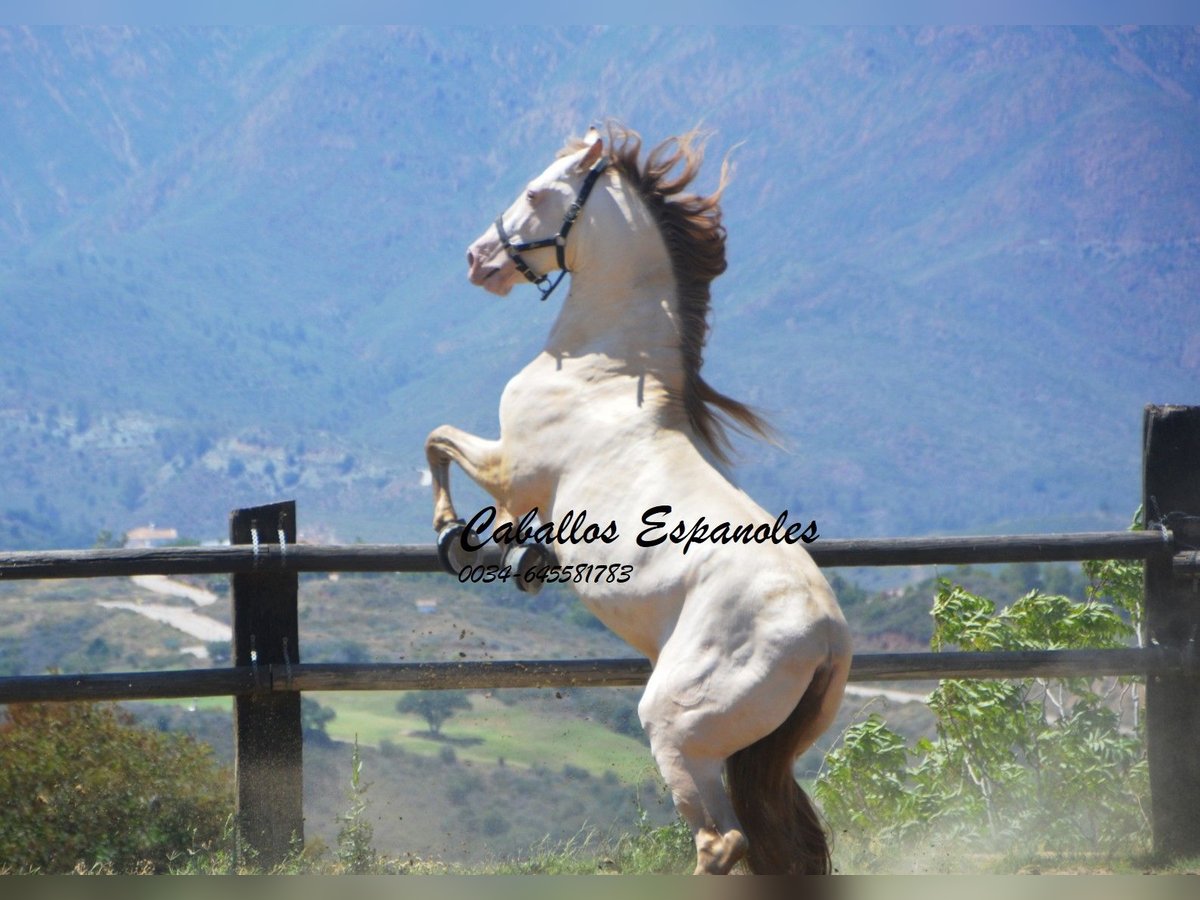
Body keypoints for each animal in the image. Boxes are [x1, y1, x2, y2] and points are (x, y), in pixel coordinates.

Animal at [427, 123, 849, 878]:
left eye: (534, 192)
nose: (477, 259)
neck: (605, 370)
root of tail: (826, 638)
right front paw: (521, 557)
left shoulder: (510, 467)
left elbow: (437, 443)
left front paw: (454, 537)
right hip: (758, 752)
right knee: (786, 843)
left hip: (680, 733)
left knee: (722, 842)